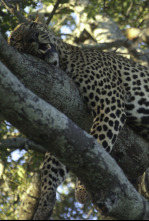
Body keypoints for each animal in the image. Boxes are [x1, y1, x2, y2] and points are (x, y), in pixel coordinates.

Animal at [7, 21, 149, 219]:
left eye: (32, 25)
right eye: (17, 40)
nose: (32, 37)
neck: (65, 59)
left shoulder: (109, 105)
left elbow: (97, 151)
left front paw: (82, 190)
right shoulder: (65, 123)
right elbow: (55, 161)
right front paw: (45, 202)